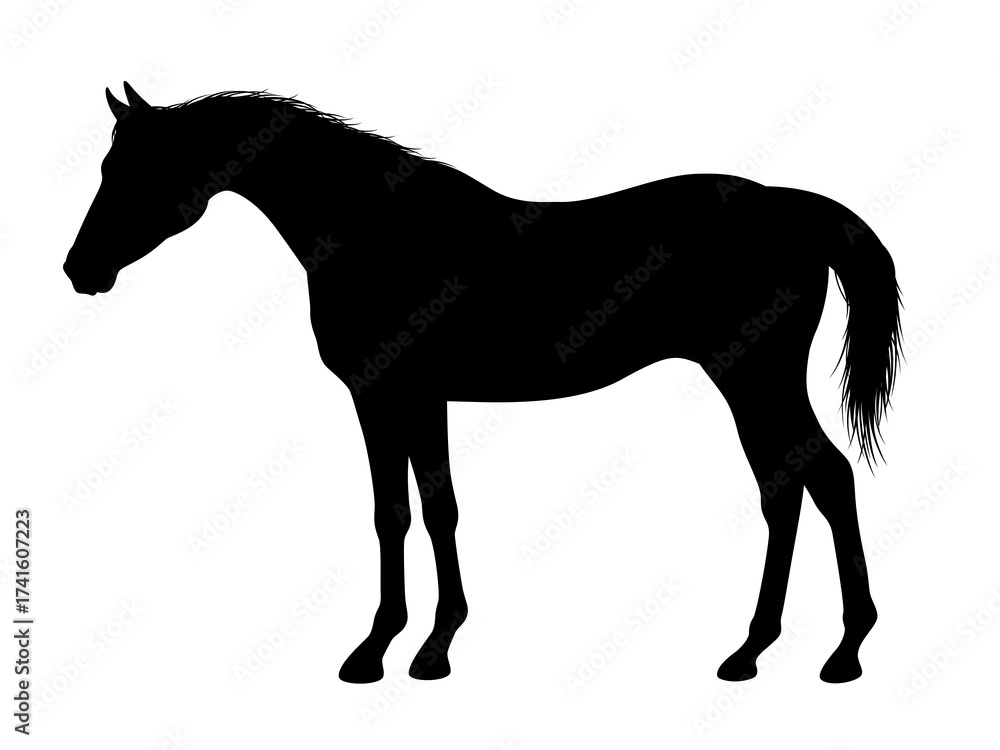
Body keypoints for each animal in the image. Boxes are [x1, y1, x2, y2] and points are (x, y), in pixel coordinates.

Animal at [64, 83, 901, 684]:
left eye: (137, 170)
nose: (79, 270)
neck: (376, 231)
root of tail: (792, 209)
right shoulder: (399, 397)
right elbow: (412, 512)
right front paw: (403, 648)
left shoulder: (395, 394)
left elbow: (416, 512)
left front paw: (405, 650)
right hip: (750, 380)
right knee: (790, 488)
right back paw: (755, 652)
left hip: (754, 376)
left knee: (820, 480)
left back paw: (841, 654)